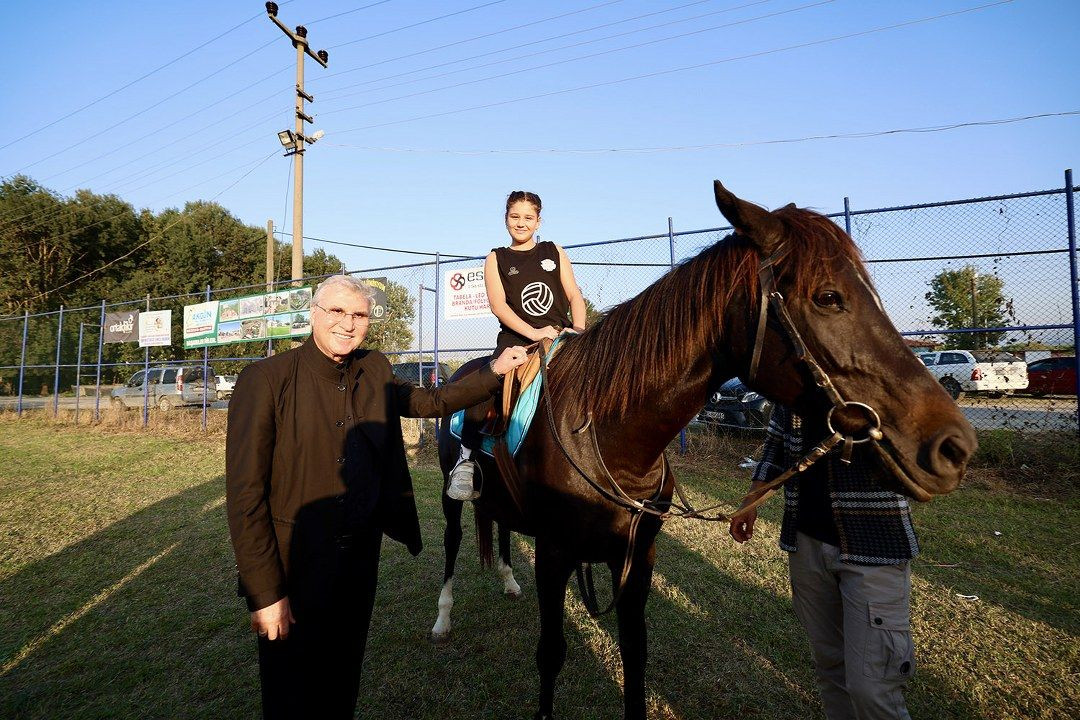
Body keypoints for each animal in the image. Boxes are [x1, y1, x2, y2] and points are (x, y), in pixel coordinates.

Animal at [434, 181, 976, 720]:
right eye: (828, 297)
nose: (954, 445)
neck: (602, 436)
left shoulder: (637, 560)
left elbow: (635, 652)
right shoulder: (553, 555)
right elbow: (551, 654)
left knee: (501, 528)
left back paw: (508, 580)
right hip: (449, 500)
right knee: (452, 542)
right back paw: (442, 619)